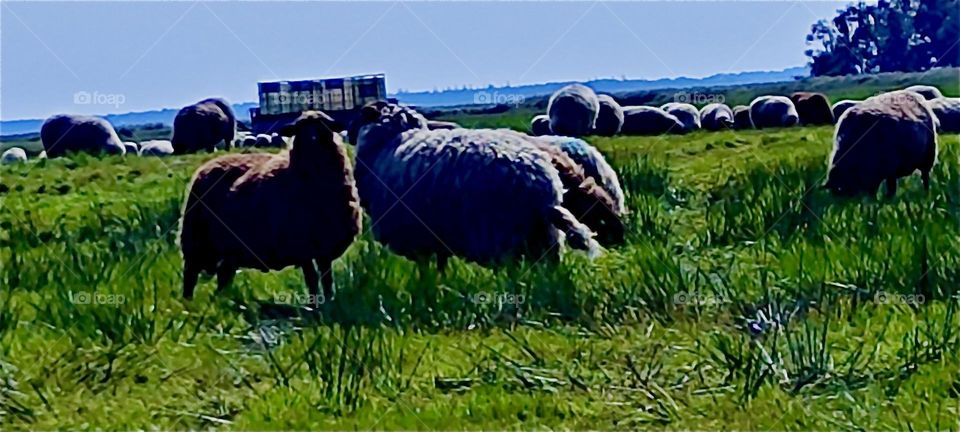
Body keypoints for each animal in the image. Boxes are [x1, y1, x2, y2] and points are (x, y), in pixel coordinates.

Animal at [180, 110, 361, 303]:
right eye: (298, 128)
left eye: (324, 126)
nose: (312, 140)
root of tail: (207, 165)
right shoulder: (302, 245)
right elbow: (312, 279)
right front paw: (315, 305)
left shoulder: (324, 246)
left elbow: (327, 279)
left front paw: (328, 300)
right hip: (196, 238)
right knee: (190, 274)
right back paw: (188, 302)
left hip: (230, 247)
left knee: (223, 275)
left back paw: (223, 299)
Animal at [352, 102, 601, 270]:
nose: (347, 130)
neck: (386, 142)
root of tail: (543, 185)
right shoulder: (436, 236)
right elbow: (440, 267)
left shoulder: (417, 236)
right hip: (544, 237)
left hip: (500, 234)